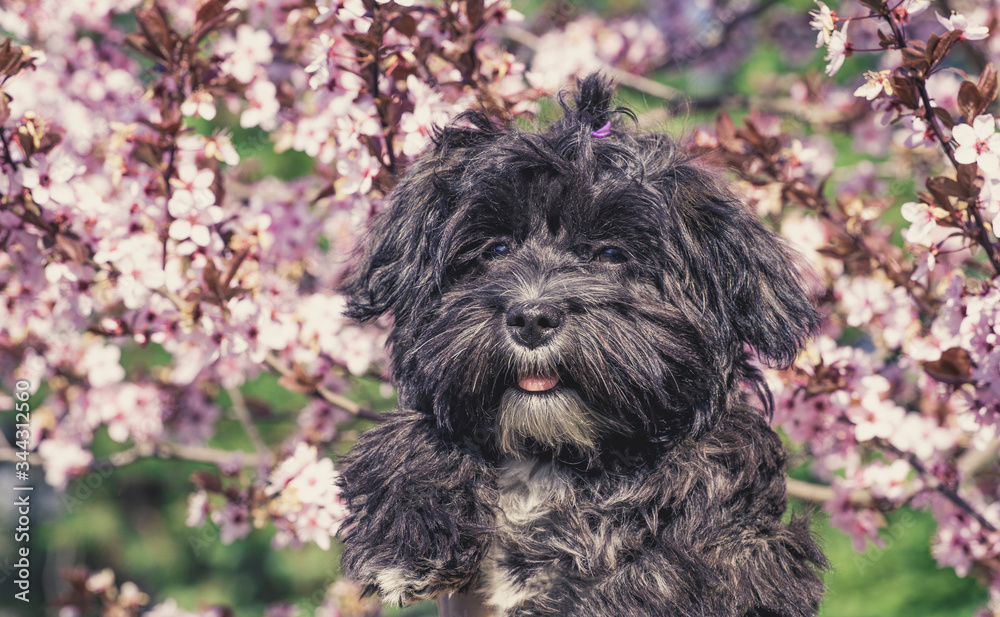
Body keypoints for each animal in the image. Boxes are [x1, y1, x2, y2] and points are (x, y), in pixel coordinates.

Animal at [340, 76, 824, 616]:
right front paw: (409, 530)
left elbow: (671, 569)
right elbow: (417, 427)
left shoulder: (749, 552)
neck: (554, 457)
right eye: (496, 249)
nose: (531, 318)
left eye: (612, 254)